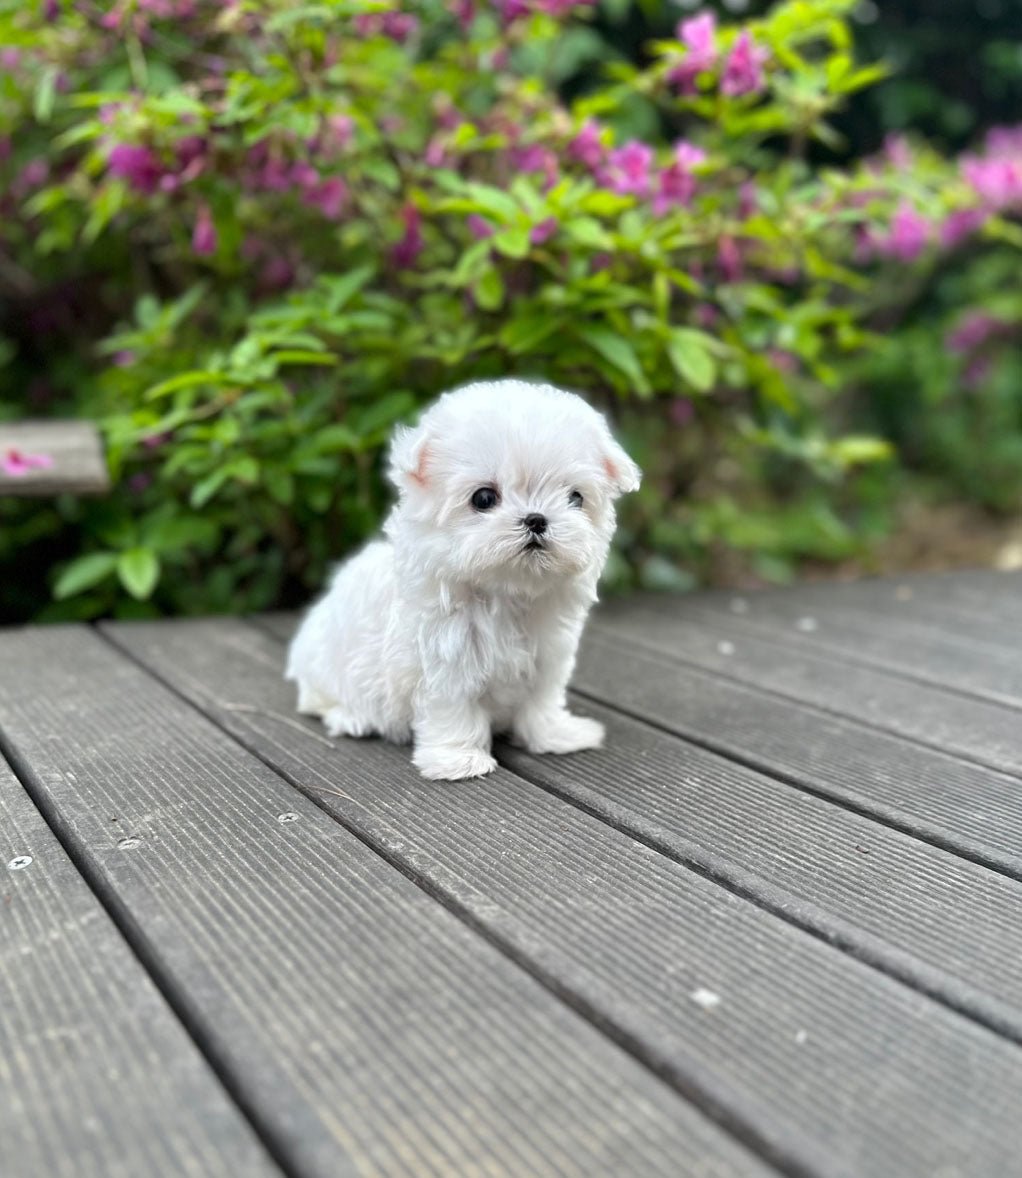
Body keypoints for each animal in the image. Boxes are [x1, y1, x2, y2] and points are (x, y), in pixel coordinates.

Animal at [284, 379, 640, 782]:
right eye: (484, 498)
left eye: (575, 498)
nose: (536, 519)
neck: (507, 594)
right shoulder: (446, 659)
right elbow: (454, 709)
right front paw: (460, 759)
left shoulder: (548, 655)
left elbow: (541, 700)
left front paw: (555, 734)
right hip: (326, 663)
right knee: (317, 698)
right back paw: (351, 717)